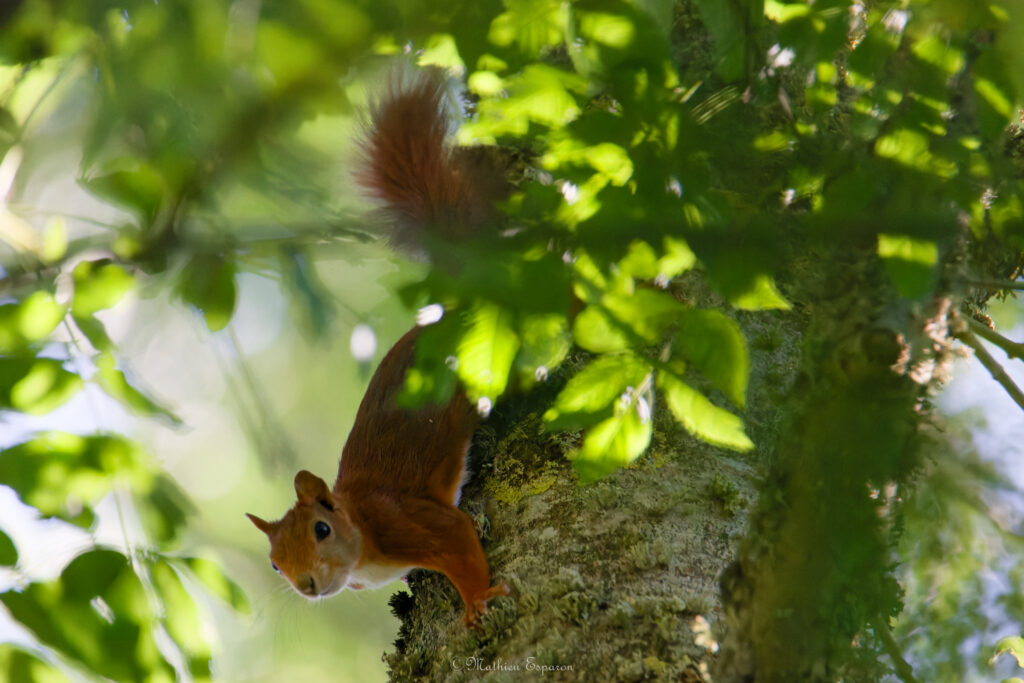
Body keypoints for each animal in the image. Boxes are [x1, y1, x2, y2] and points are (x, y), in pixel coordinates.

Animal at [243, 72, 507, 626]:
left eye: (321, 530)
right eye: (275, 563)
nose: (308, 584)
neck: (361, 529)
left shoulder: (408, 521)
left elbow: (457, 538)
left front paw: (476, 601)